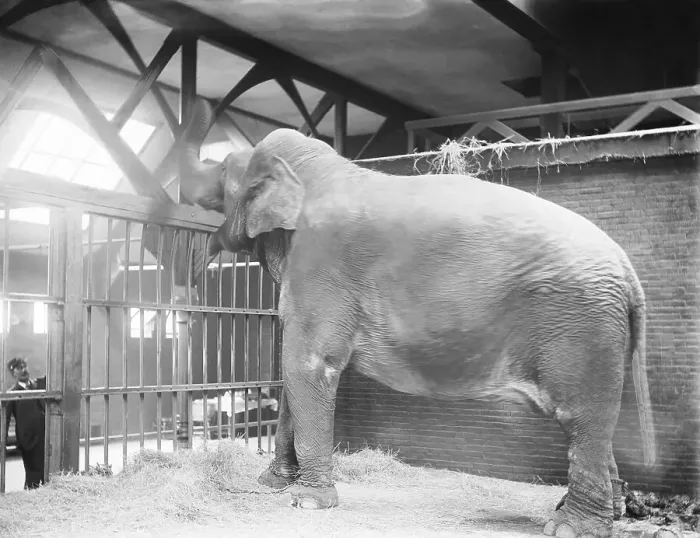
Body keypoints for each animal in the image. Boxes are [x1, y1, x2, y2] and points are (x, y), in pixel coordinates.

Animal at [179, 100, 656, 538]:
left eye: (224, 168)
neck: (314, 171)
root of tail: (630, 275)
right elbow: (296, 374)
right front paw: (273, 484)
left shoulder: (322, 263)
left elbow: (307, 364)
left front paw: (308, 503)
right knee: (595, 423)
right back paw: (606, 513)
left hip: (580, 325)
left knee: (581, 417)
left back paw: (571, 527)